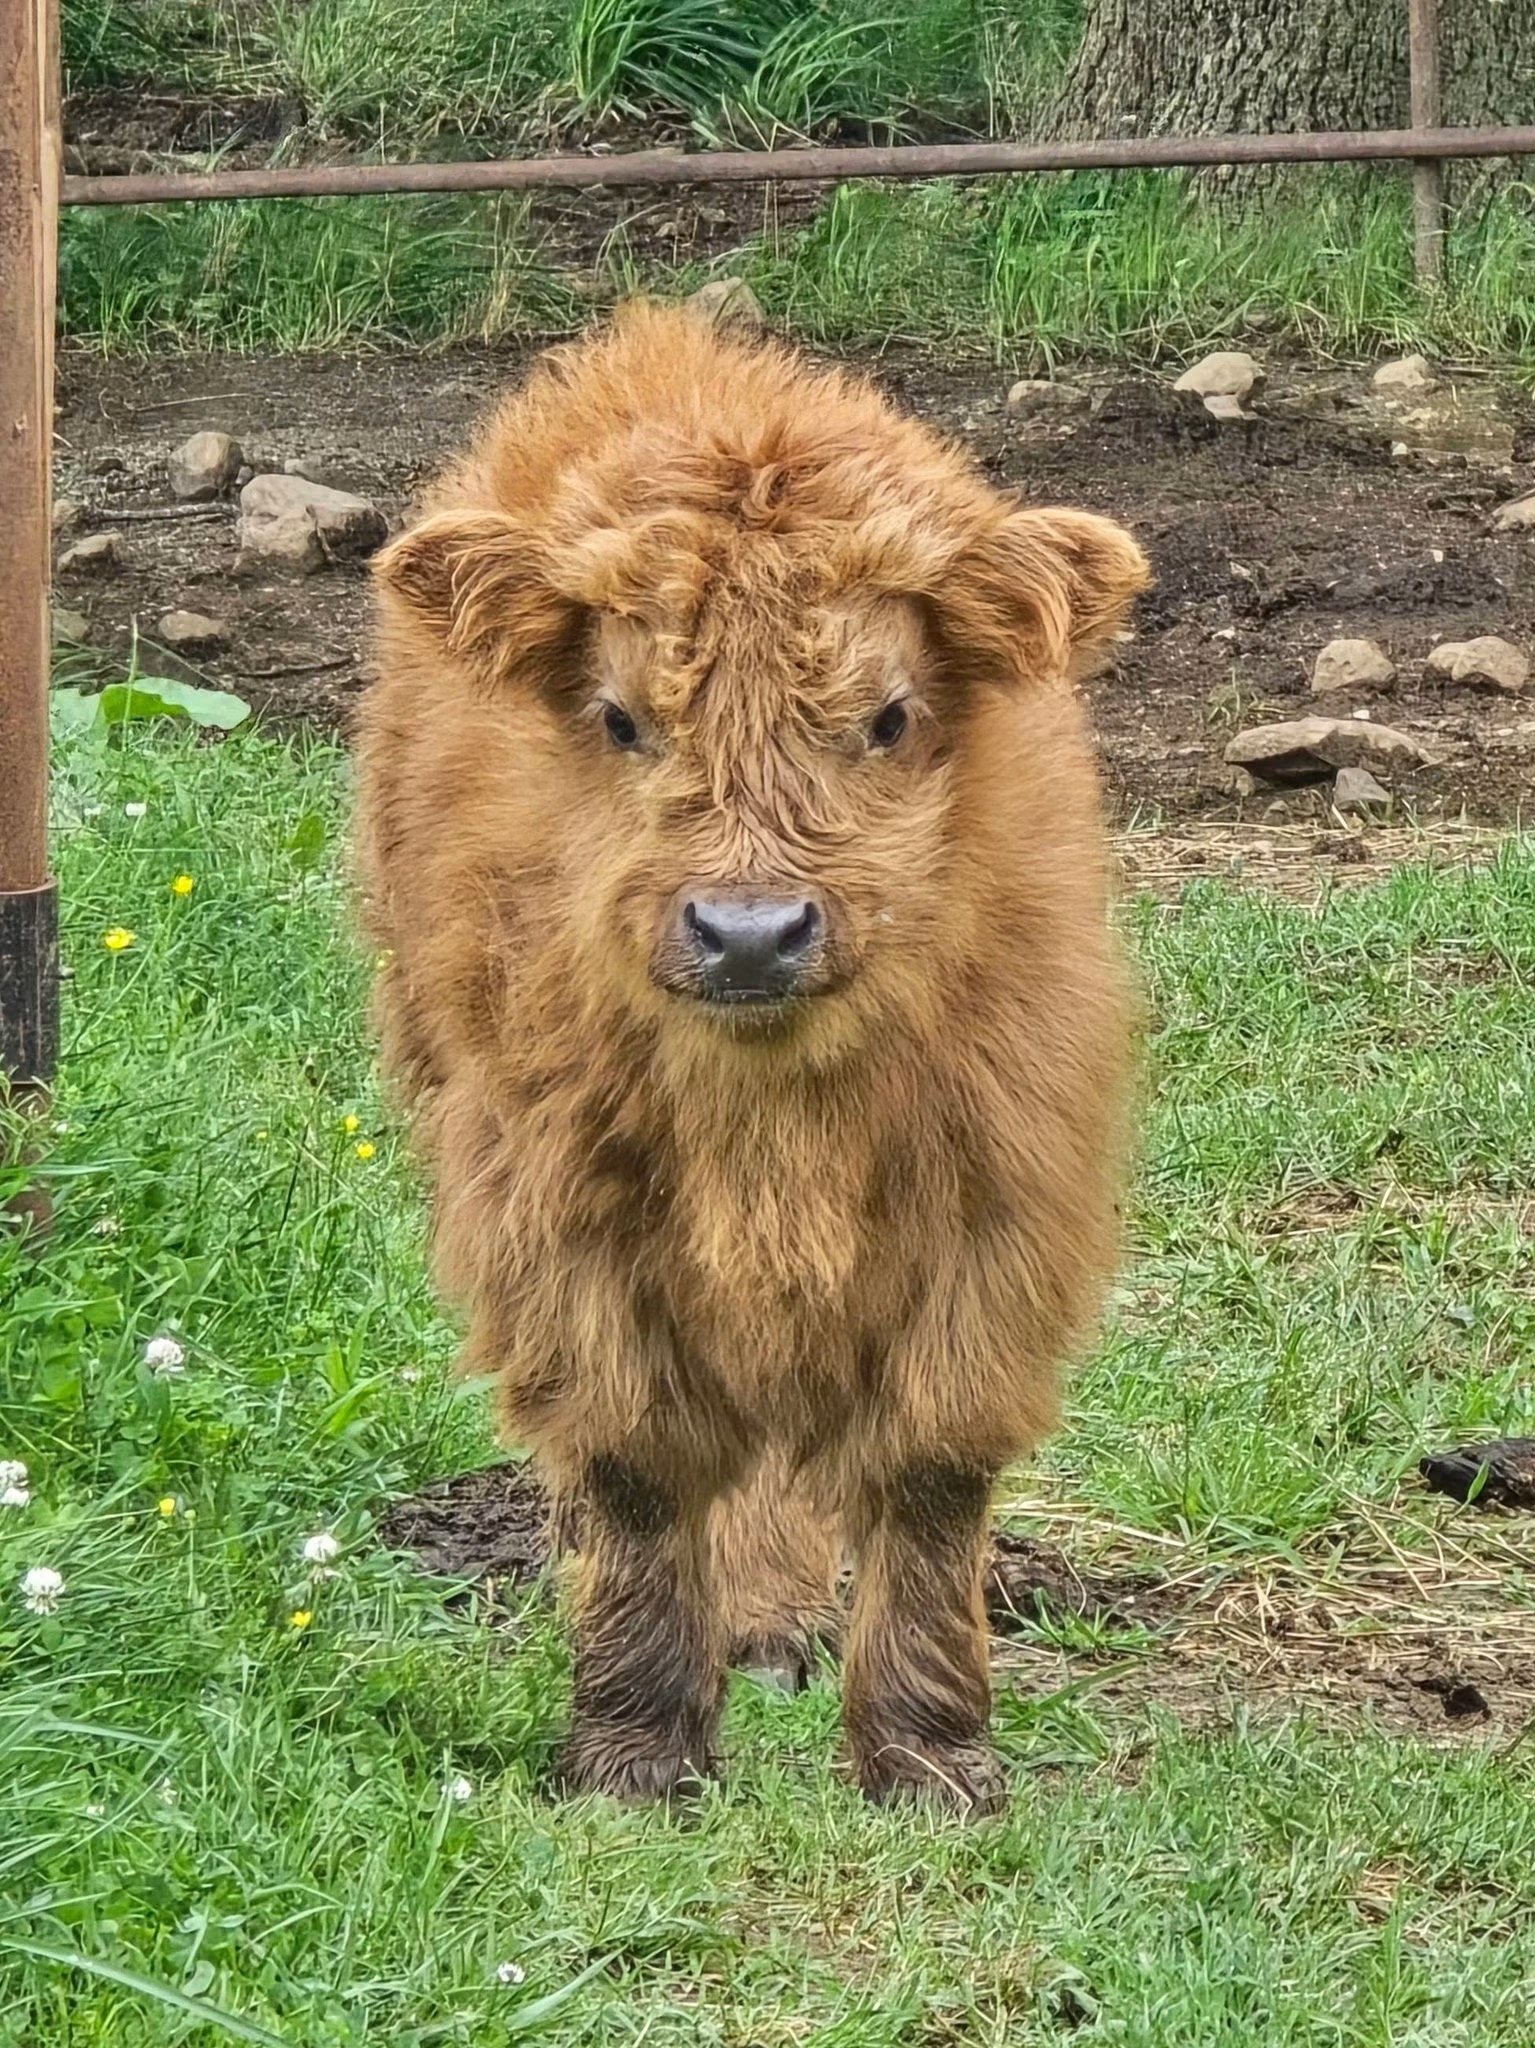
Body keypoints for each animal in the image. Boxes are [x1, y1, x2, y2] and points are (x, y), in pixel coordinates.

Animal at [357, 304, 1148, 1814]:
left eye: (886, 717)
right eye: (621, 719)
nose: (747, 933)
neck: (772, 1111)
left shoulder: (1000, 1197)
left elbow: (931, 1470)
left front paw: (926, 1752)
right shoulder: (554, 1212)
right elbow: (630, 1469)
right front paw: (634, 1746)